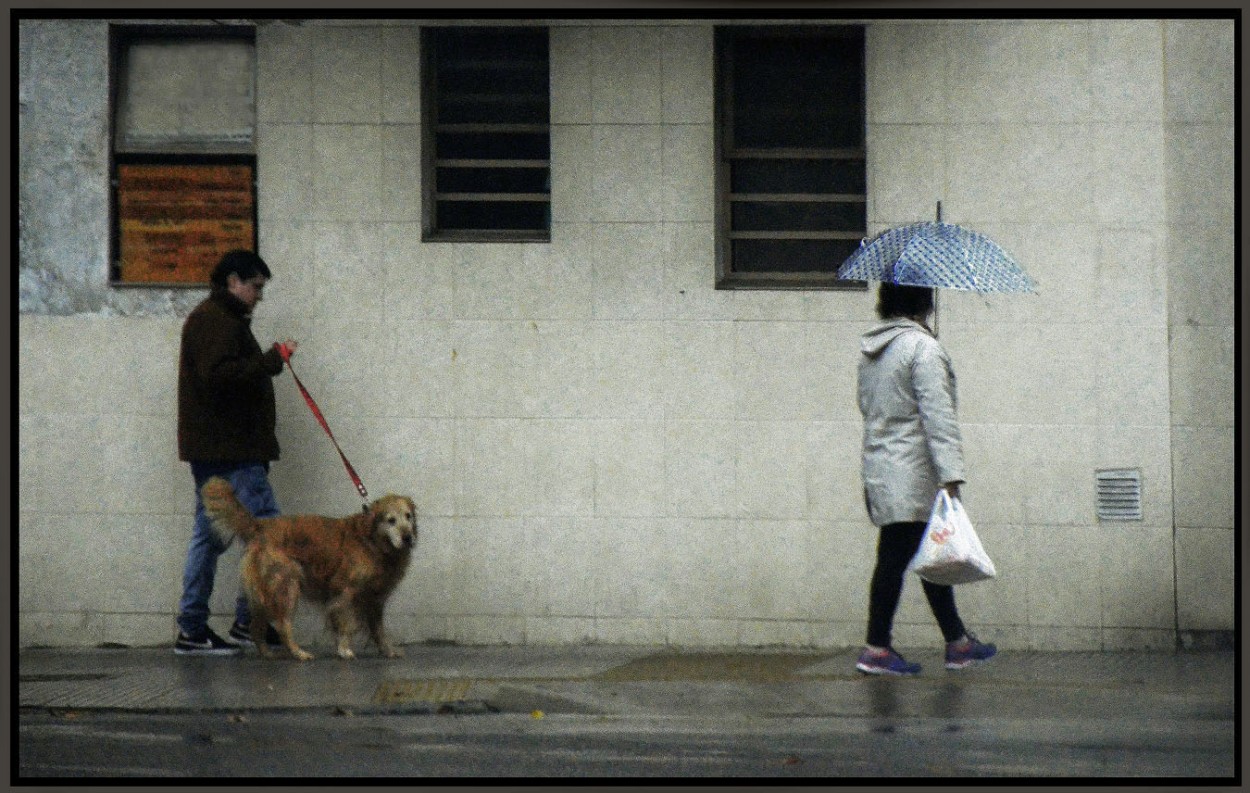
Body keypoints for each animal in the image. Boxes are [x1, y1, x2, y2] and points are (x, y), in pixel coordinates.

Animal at [202, 477, 417, 655]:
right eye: (391, 520)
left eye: (408, 516)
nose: (408, 537)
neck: (372, 541)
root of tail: (260, 526)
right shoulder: (345, 591)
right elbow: (347, 624)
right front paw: (345, 650)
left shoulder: (375, 599)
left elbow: (378, 628)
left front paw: (387, 650)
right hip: (288, 585)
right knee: (283, 625)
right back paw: (298, 653)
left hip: (266, 593)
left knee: (256, 626)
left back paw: (266, 653)